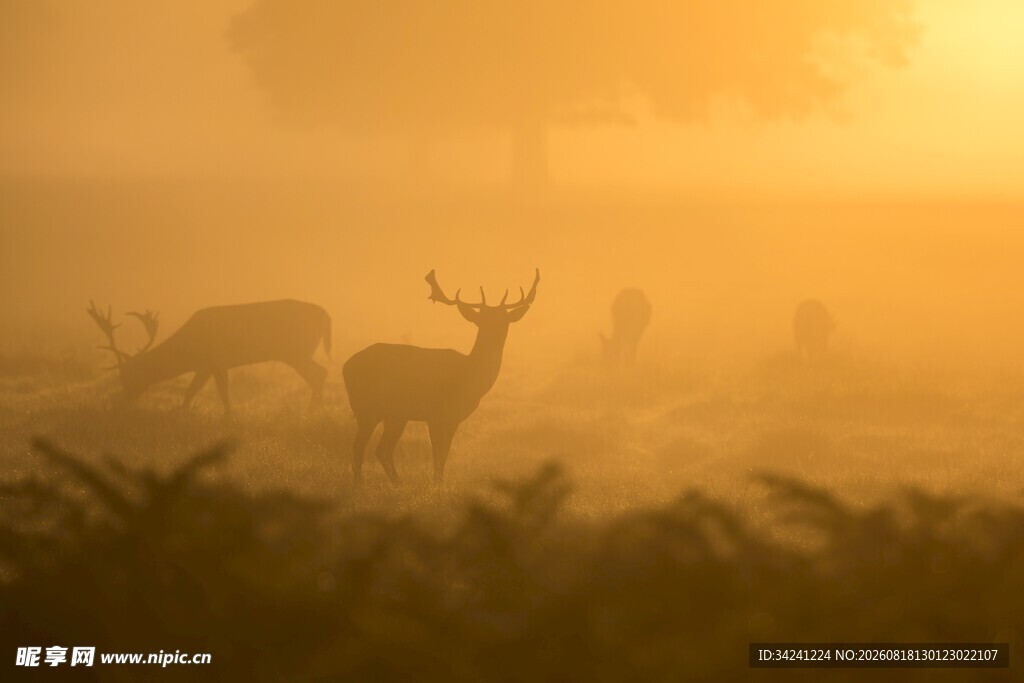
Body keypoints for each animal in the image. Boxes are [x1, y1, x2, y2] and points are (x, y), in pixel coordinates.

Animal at [87, 300, 332, 416]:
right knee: (320, 373)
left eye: (128, 376)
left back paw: (311, 413)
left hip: (297, 351)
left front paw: (227, 418)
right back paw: (317, 412)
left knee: (319, 373)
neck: (190, 350)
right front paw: (182, 412)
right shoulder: (206, 366)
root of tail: (326, 314)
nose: (121, 404)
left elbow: (220, 392)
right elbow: (192, 391)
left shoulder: (216, 361)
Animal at [343, 269, 540, 485]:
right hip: (367, 407)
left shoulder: (452, 418)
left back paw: (397, 483)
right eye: (482, 320)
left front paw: (438, 483)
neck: (469, 377)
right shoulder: (437, 414)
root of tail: (346, 366)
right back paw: (360, 483)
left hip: (395, 415)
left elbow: (443, 456)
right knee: (359, 447)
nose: (496, 335)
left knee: (382, 449)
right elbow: (438, 455)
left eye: (505, 320)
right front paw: (437, 485)